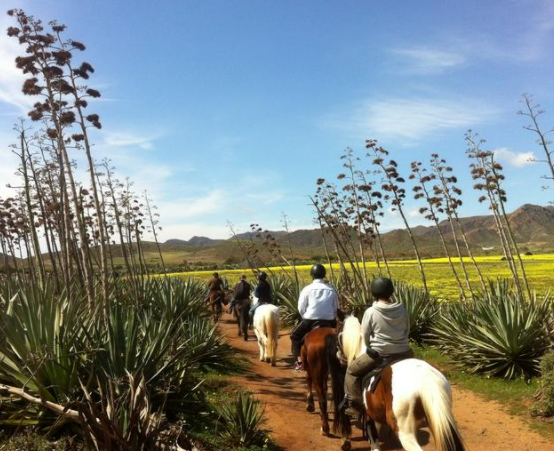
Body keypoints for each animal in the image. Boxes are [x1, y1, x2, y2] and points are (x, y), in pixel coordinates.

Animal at [326, 316, 464, 451]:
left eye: (337, 334)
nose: (338, 356)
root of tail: (426, 379)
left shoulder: (370, 416)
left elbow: (374, 443)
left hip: (404, 431)